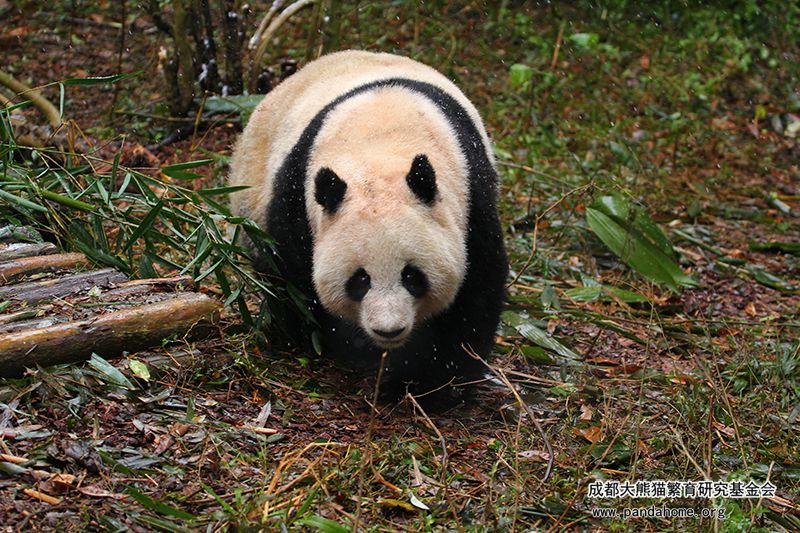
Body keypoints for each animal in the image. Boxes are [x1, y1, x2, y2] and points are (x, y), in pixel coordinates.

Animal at [229, 50, 507, 400]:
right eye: (359, 279)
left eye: (412, 275)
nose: (389, 329)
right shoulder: (294, 198)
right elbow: (295, 279)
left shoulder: (471, 194)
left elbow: (476, 287)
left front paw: (433, 385)